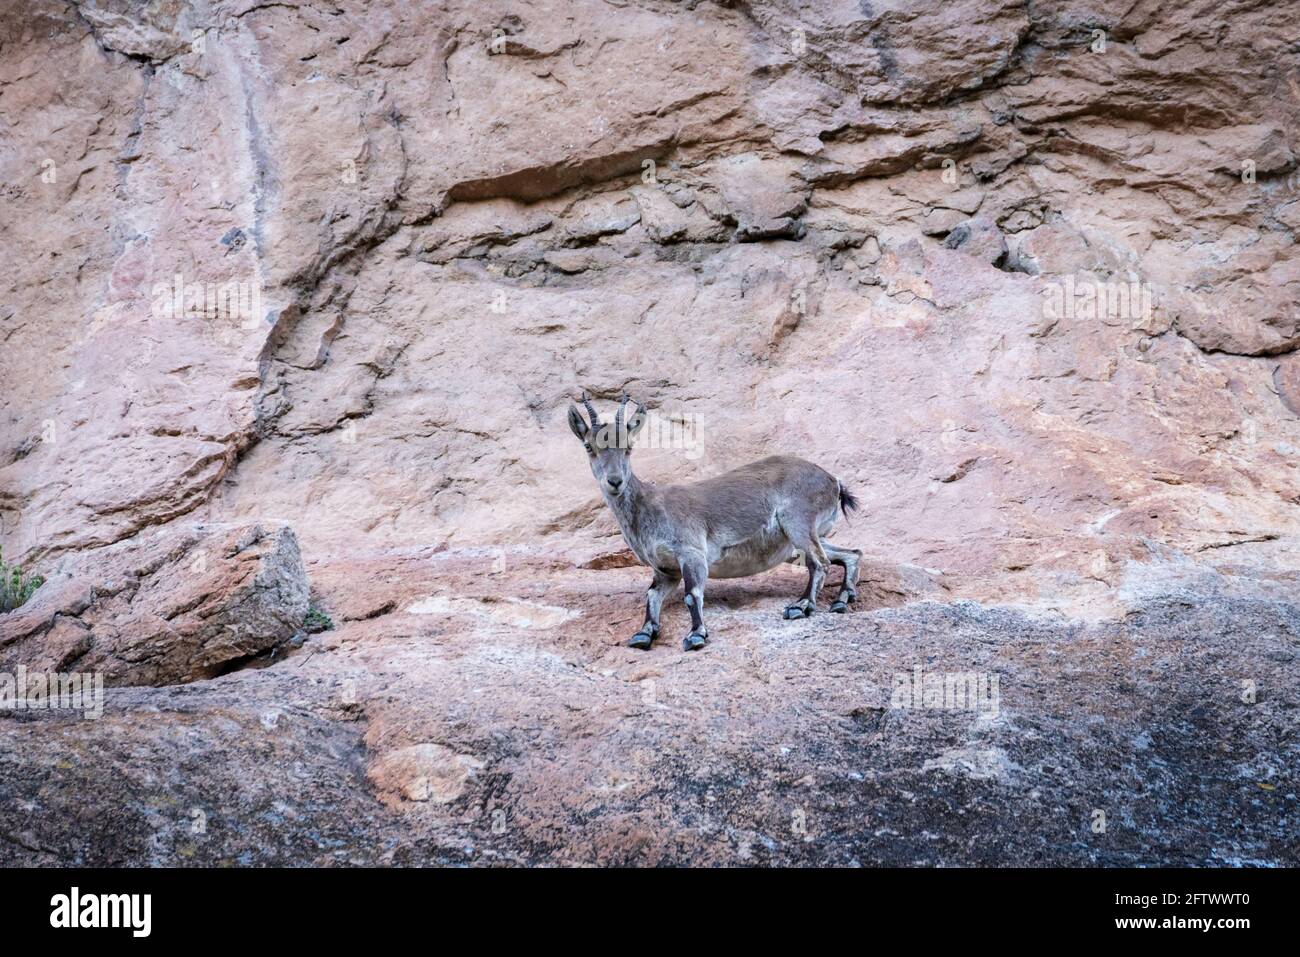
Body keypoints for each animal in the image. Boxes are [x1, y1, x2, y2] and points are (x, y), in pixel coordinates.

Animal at [567, 393, 862, 651]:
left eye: (629, 447)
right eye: (588, 446)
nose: (615, 481)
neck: (647, 507)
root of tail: (833, 481)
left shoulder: (691, 553)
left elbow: (692, 594)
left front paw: (696, 635)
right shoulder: (665, 570)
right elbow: (651, 596)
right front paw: (643, 634)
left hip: (798, 522)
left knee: (819, 562)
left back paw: (801, 606)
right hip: (795, 543)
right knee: (851, 553)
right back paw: (841, 601)